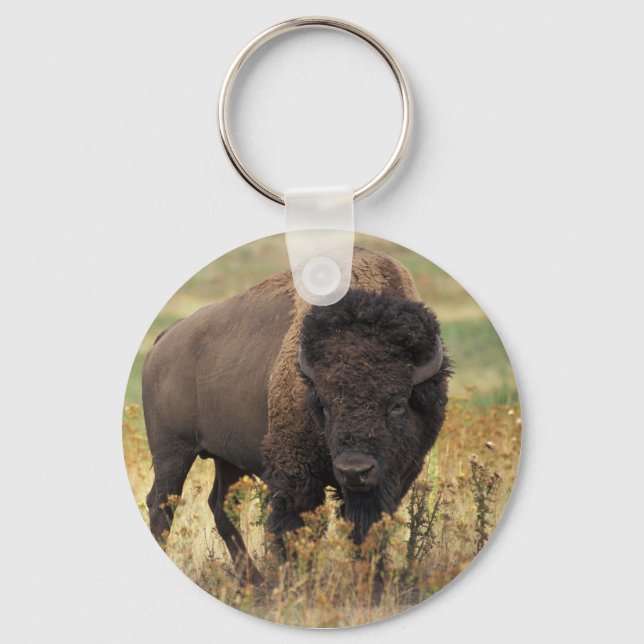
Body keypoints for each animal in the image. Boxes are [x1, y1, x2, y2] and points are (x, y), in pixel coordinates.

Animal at [142, 247, 450, 582]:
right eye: (324, 404)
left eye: (398, 404)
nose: (354, 470)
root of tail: (165, 338)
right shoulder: (296, 474)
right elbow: (296, 530)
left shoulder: (395, 476)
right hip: (172, 453)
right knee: (162, 506)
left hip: (226, 458)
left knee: (220, 506)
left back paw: (254, 581)